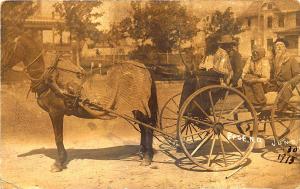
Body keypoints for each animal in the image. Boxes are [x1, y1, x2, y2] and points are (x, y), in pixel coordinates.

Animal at [0, 32, 159, 171]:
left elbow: (58, 137)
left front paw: (59, 163)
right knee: (143, 127)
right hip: (136, 109)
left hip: (140, 107)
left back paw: (147, 158)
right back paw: (142, 153)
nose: (1, 67)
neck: (51, 78)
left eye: (8, 47)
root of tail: (144, 68)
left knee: (148, 128)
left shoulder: (56, 112)